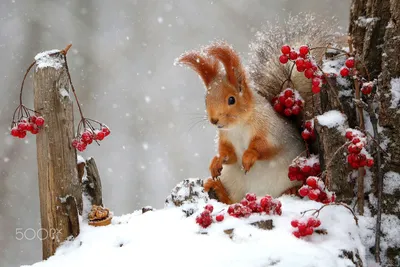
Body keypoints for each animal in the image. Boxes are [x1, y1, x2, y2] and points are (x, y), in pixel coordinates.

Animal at [177, 16, 338, 205]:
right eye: (206, 100)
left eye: (231, 99)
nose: (214, 120)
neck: (238, 126)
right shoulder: (226, 138)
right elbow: (229, 155)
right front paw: (216, 161)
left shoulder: (271, 132)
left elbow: (264, 148)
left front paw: (248, 156)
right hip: (233, 181)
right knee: (232, 201)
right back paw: (217, 188)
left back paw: (292, 190)